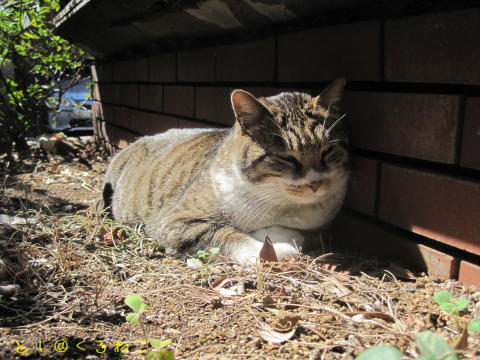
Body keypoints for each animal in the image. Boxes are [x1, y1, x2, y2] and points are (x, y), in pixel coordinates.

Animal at [101, 79, 348, 262]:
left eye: (328, 150)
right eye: (286, 157)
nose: (316, 183)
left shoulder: (317, 224)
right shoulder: (175, 222)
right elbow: (223, 233)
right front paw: (272, 250)